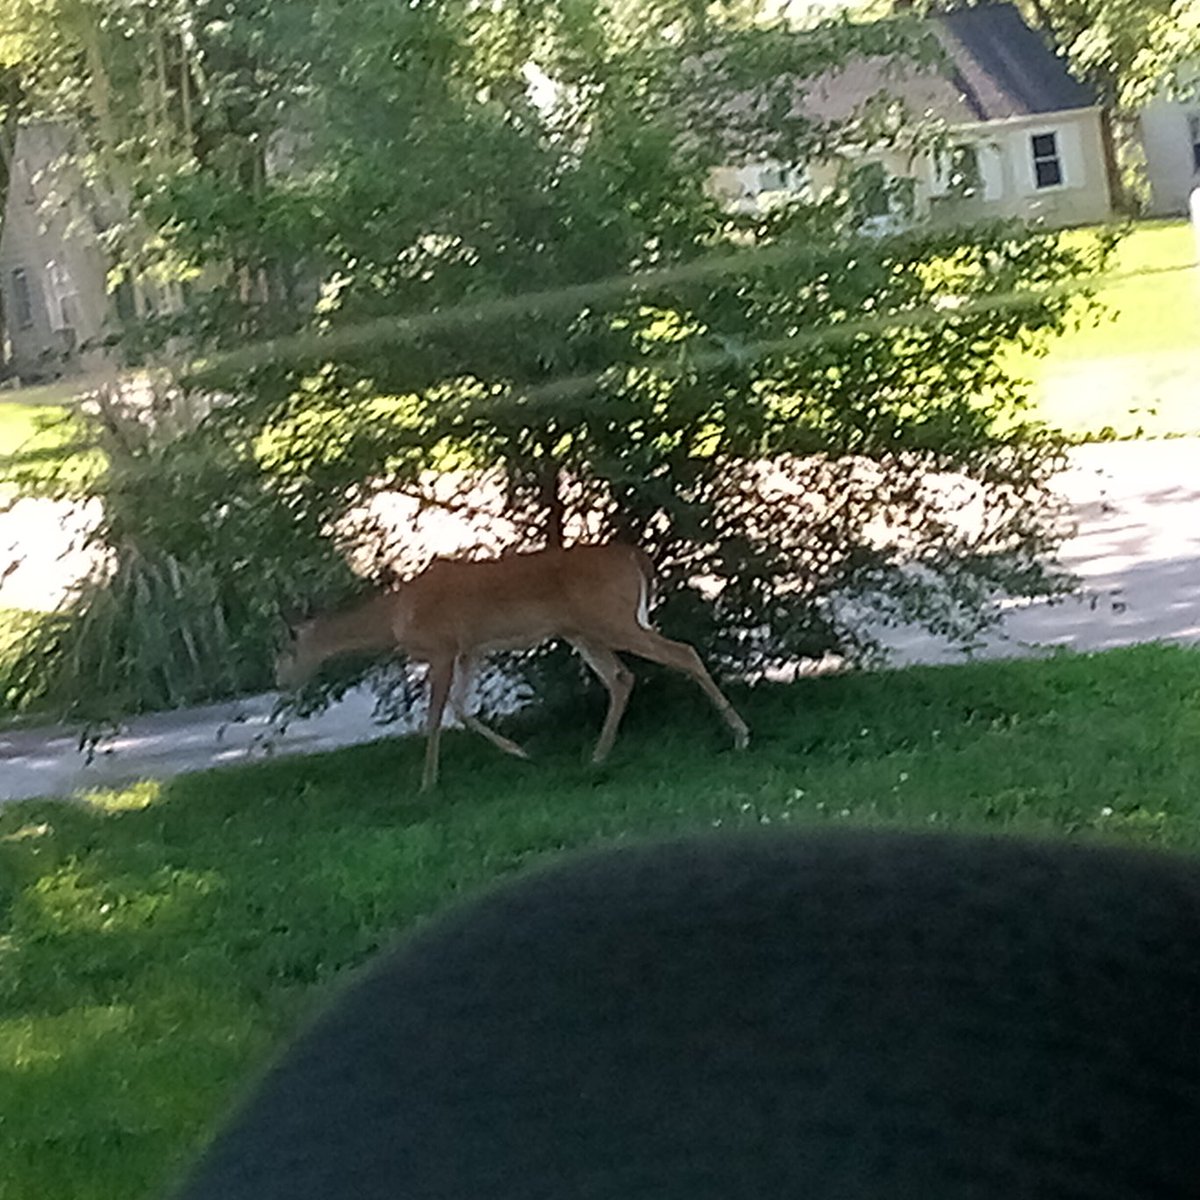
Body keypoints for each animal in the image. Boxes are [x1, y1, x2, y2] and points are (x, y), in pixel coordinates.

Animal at [275, 542, 750, 791]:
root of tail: (634, 557)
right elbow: (462, 708)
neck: (396, 615)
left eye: (284, 653)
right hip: (584, 630)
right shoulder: (470, 649)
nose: (279, 681)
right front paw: (520, 752)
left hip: (611, 619)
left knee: (682, 653)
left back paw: (740, 734)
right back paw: (597, 757)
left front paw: (427, 782)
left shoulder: (442, 648)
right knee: (621, 678)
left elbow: (435, 715)